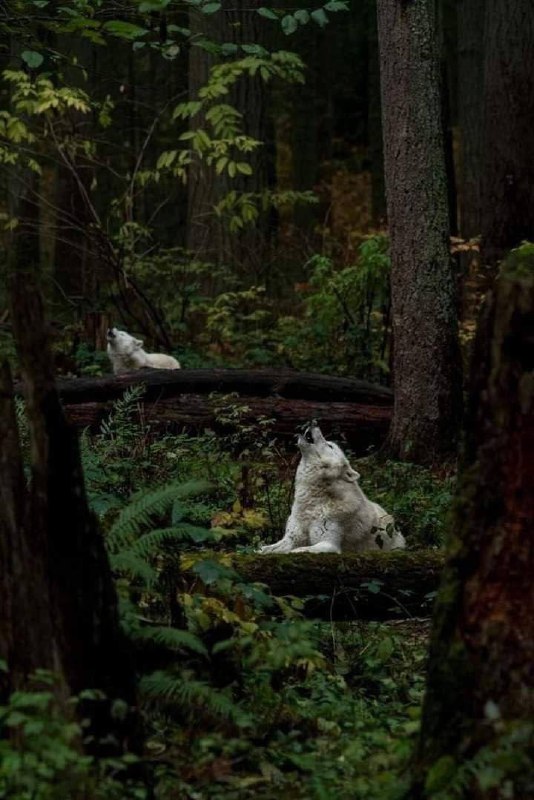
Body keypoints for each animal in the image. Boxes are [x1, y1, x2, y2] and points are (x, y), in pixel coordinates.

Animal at [260, 428, 406, 552]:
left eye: (330, 446)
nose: (313, 425)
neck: (312, 502)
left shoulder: (329, 544)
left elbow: (299, 550)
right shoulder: (291, 538)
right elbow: (265, 549)